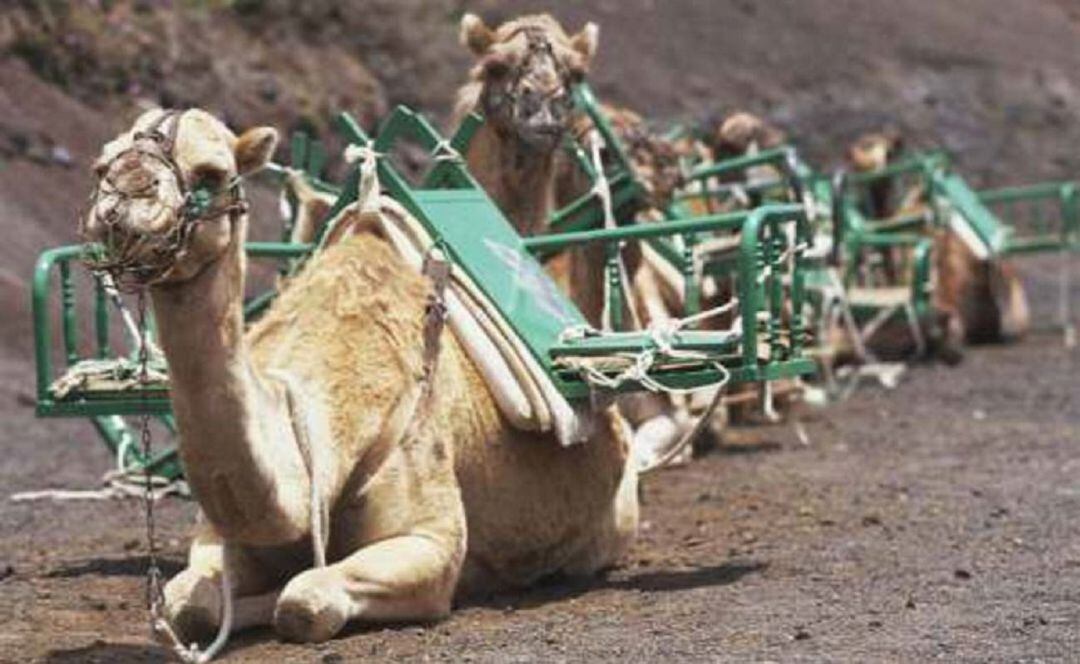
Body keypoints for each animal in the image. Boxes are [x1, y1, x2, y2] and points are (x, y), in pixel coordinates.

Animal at [88, 107, 639, 643]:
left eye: (211, 172)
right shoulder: (214, 538)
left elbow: (303, 600)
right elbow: (187, 607)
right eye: (102, 167)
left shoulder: (432, 543)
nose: (125, 197)